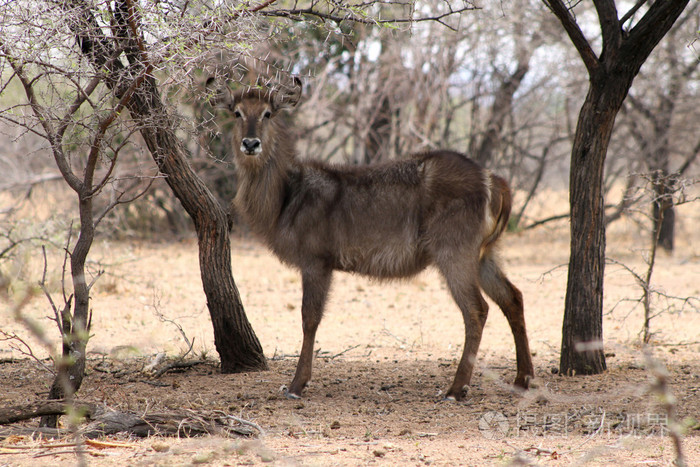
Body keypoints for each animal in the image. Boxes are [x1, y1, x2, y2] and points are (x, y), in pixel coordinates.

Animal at [211, 78, 532, 400]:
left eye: (268, 113)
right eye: (237, 112)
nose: (250, 143)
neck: (287, 196)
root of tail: (493, 180)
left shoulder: (316, 261)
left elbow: (309, 319)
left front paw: (296, 384)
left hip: (454, 252)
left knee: (477, 309)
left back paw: (456, 388)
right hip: (484, 254)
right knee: (513, 297)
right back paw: (523, 378)